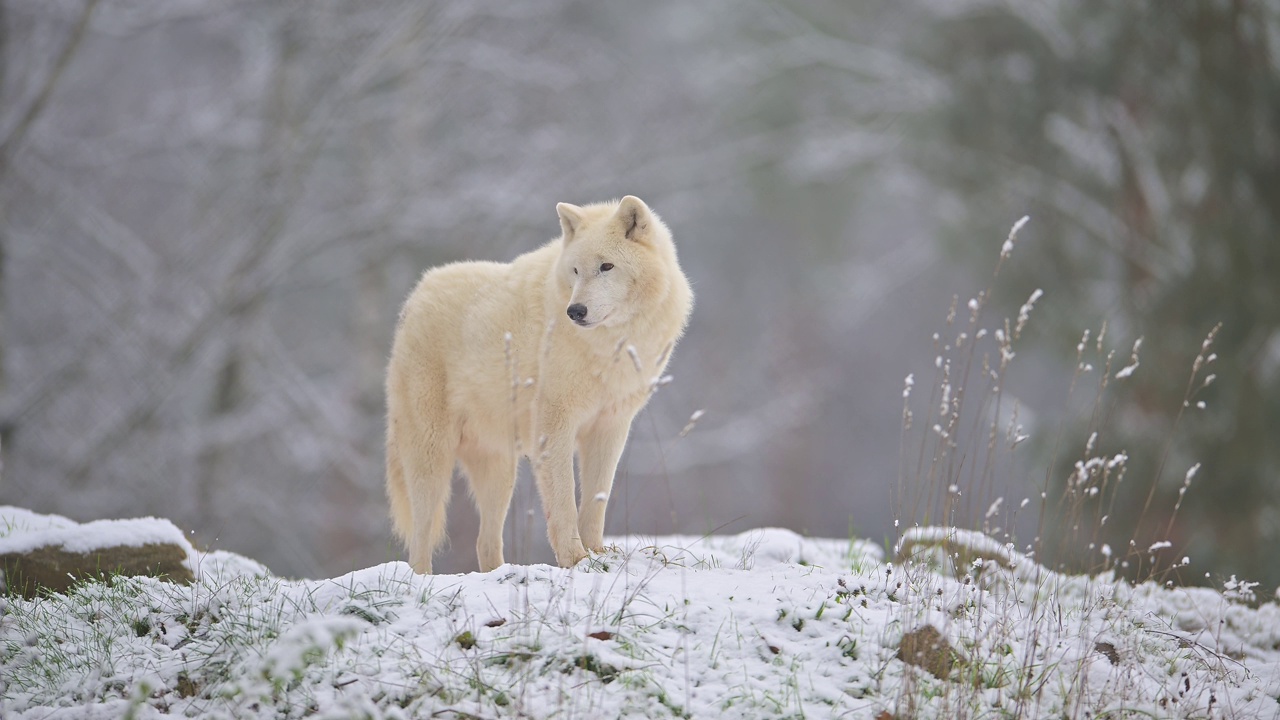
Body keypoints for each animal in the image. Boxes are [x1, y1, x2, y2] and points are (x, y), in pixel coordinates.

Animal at [384, 196, 696, 571]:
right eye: (575, 271)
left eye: (606, 267)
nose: (575, 311)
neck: (611, 346)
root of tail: (417, 294)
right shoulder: (554, 426)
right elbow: (563, 503)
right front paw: (575, 560)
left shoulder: (610, 427)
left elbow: (596, 500)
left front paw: (598, 555)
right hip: (432, 459)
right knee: (420, 540)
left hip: (500, 472)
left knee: (484, 542)